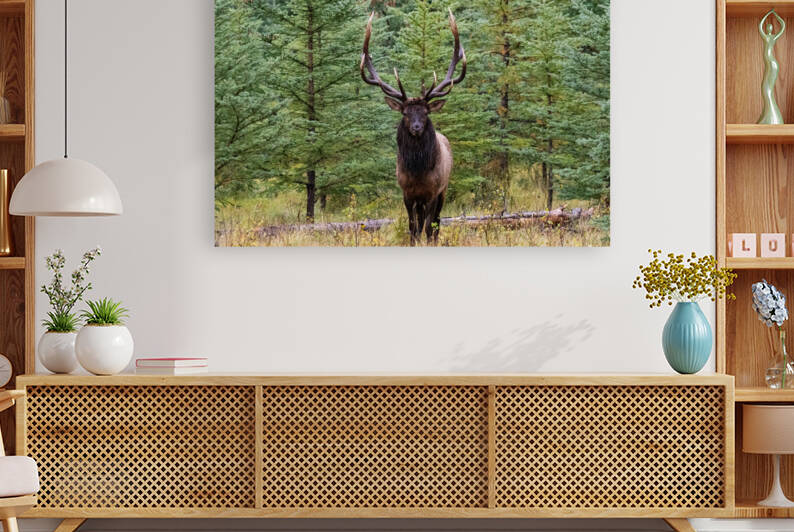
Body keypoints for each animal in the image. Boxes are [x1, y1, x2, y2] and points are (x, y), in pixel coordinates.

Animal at [360, 9, 466, 245]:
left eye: (425, 113)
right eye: (406, 113)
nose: (417, 127)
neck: (418, 172)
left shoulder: (433, 192)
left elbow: (427, 226)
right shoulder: (407, 193)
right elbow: (412, 227)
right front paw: (413, 242)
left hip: (444, 190)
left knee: (436, 222)